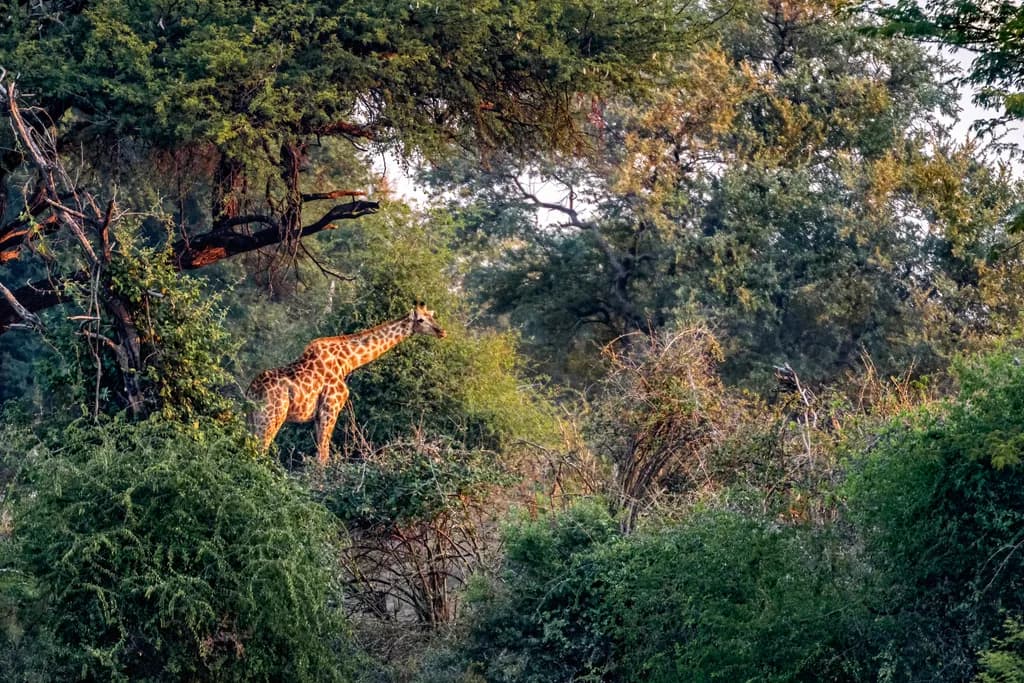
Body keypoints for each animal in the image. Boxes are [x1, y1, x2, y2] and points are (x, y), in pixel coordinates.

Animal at [246, 303, 447, 464]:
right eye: (420, 320)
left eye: (433, 317)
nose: (442, 331)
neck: (347, 362)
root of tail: (252, 392)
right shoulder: (330, 408)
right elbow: (323, 456)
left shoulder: (319, 415)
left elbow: (320, 452)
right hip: (271, 416)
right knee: (260, 450)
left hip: (253, 418)